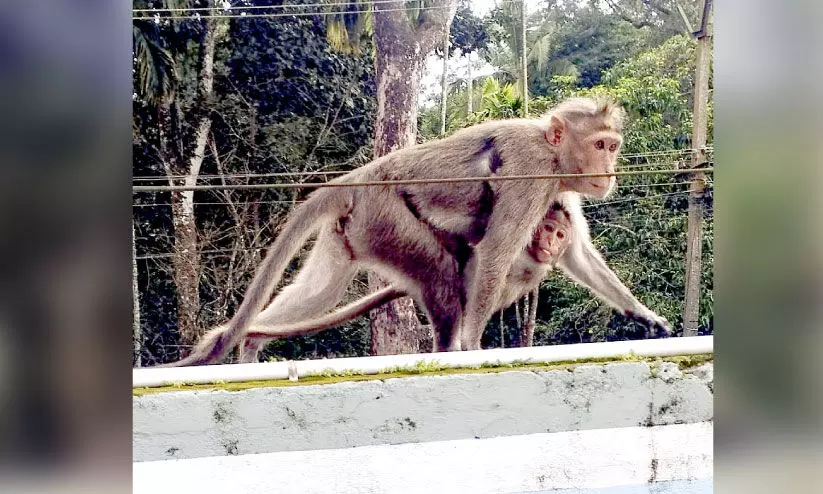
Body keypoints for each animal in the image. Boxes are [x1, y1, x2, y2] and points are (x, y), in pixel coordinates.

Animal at [169, 96, 639, 367]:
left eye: (612, 146)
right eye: (600, 146)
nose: (610, 171)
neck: (553, 151)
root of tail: (358, 178)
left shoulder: (561, 190)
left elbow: (580, 255)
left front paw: (642, 315)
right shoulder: (533, 171)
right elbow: (496, 251)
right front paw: (472, 345)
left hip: (354, 230)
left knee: (319, 293)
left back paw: (250, 338)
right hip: (387, 219)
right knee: (441, 277)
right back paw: (448, 348)